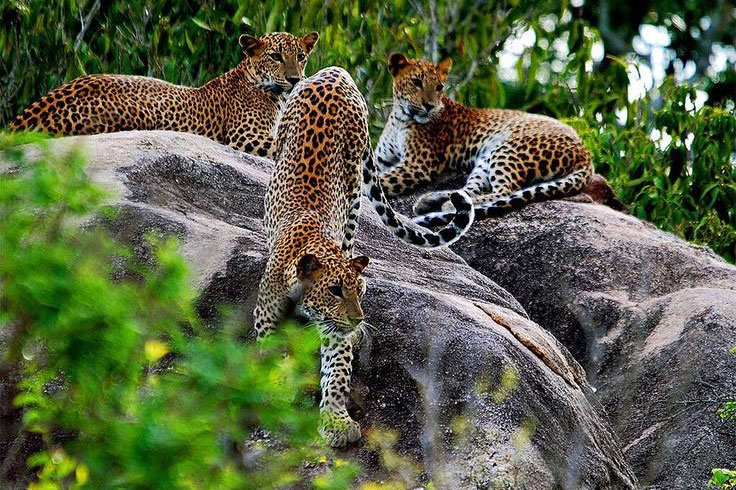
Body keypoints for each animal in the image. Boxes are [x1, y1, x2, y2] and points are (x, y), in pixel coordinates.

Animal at [254, 66, 474, 447]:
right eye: (334, 291)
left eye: (359, 291)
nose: (358, 319)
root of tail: (334, 72)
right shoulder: (266, 317)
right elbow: (268, 353)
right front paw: (277, 390)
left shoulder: (335, 332)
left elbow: (337, 372)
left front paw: (336, 421)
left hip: (354, 181)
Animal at [375, 53, 594, 228]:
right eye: (416, 82)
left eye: (439, 87)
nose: (429, 106)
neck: (400, 117)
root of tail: (586, 153)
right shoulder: (381, 159)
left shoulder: (417, 165)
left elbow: (381, 181)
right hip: (485, 159)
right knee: (468, 190)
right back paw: (431, 201)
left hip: (508, 149)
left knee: (505, 191)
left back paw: (445, 205)